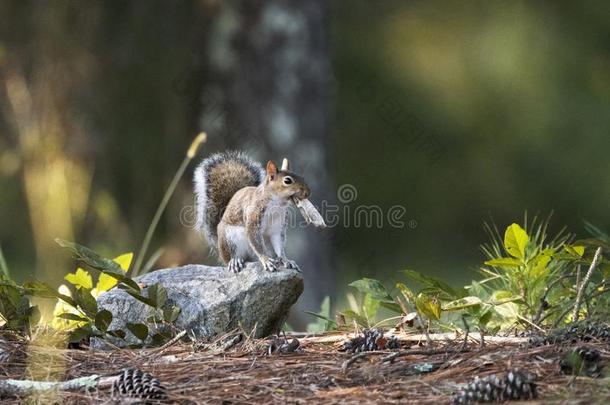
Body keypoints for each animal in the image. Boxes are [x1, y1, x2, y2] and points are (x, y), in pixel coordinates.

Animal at [195, 151, 324, 272]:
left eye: (302, 178)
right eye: (287, 181)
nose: (308, 193)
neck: (277, 204)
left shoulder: (278, 226)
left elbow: (279, 244)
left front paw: (285, 259)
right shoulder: (253, 216)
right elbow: (256, 242)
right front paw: (266, 260)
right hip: (229, 238)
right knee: (232, 257)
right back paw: (235, 261)